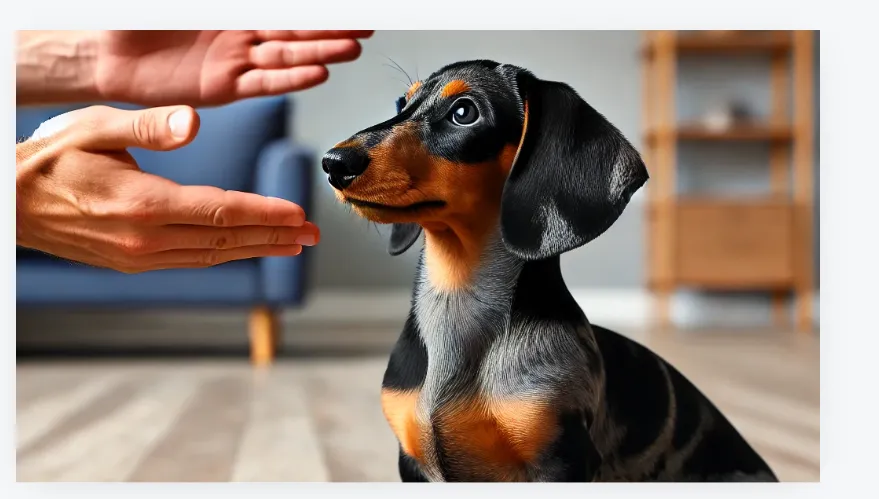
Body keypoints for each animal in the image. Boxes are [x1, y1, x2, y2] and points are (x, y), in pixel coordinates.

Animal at [322, 60, 776, 482]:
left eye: (464, 112)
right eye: (402, 103)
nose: (333, 162)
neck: (458, 301)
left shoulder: (560, 457)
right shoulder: (413, 461)